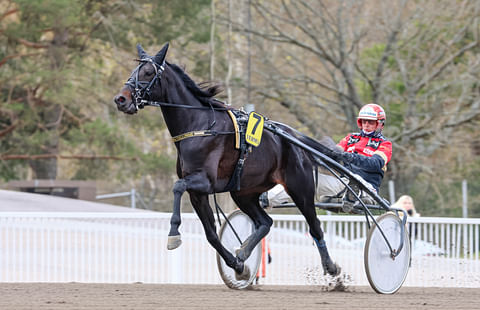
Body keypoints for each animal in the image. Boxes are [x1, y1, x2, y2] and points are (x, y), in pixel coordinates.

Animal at [114, 44, 340, 280]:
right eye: (134, 70)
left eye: (148, 72)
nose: (121, 99)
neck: (200, 125)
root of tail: (296, 140)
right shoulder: (198, 193)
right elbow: (211, 234)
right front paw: (238, 265)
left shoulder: (205, 182)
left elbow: (177, 187)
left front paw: (174, 233)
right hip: (244, 193)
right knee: (265, 222)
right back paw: (243, 251)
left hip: (299, 188)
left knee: (315, 226)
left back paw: (331, 267)